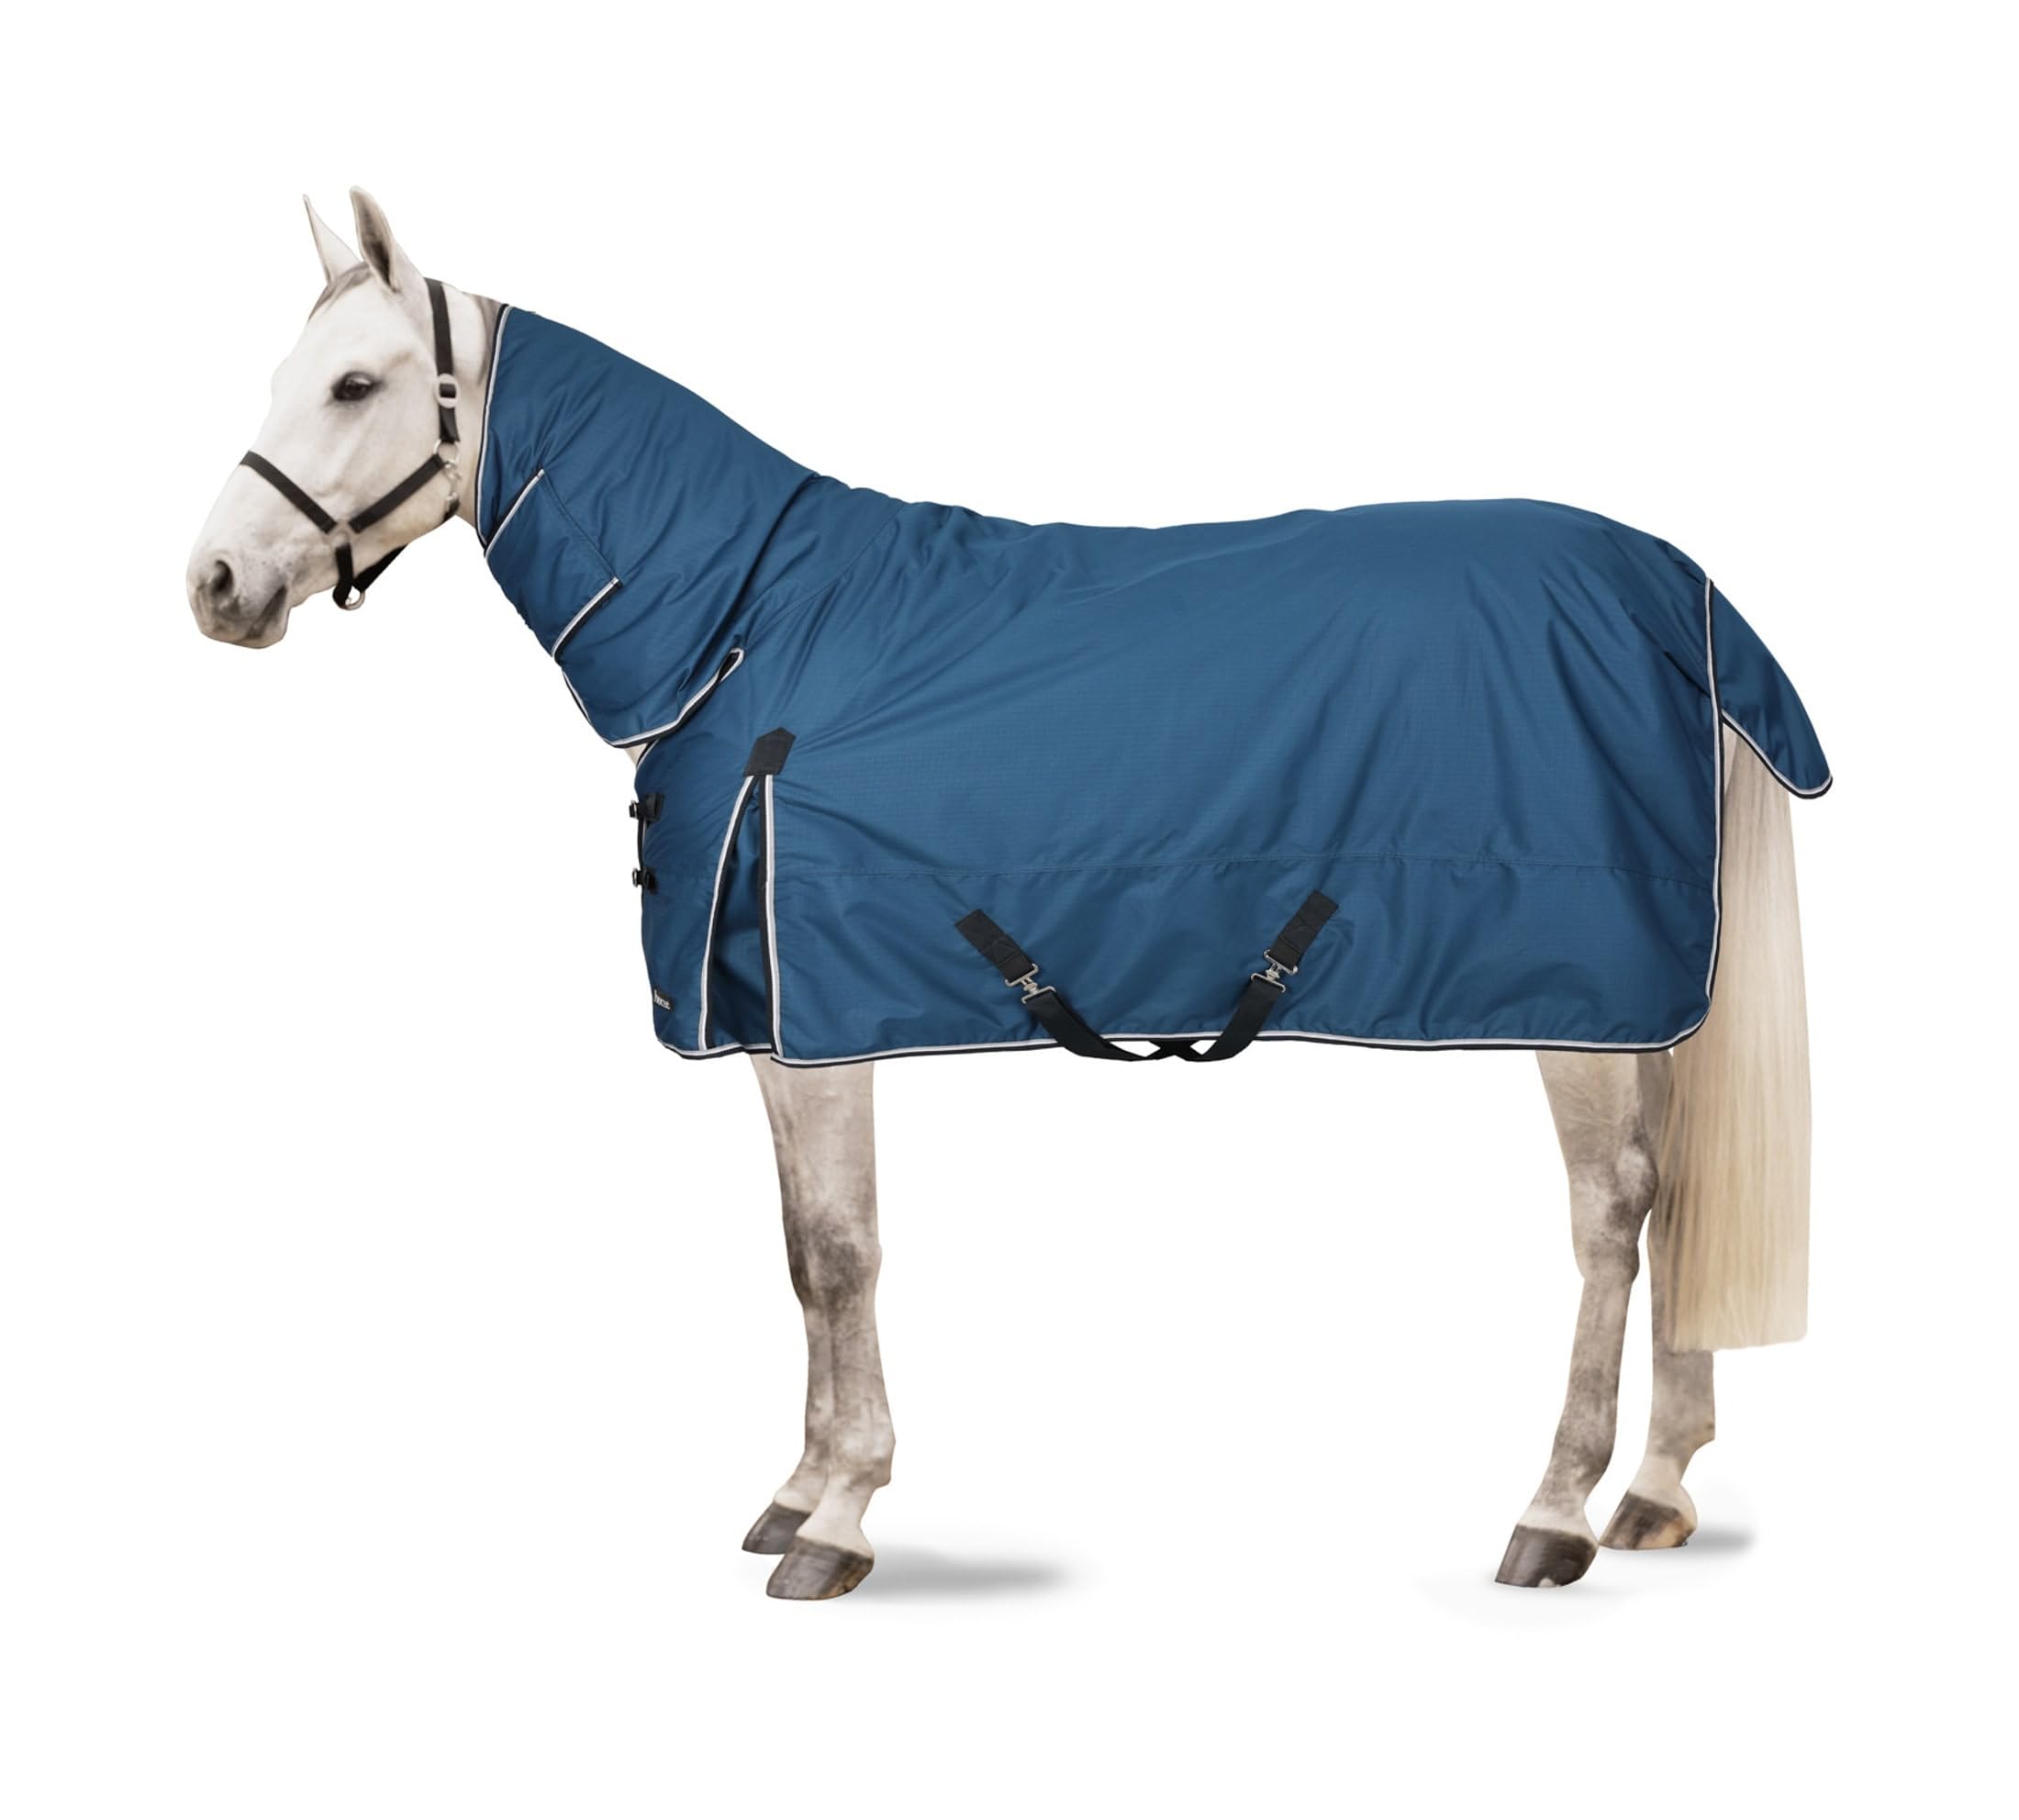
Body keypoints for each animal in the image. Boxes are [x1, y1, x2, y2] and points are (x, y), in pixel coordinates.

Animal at [186, 190, 1823, 1600]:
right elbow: (801, 1253)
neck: (747, 625)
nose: (214, 585)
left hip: (1579, 994)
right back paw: (1656, 1489)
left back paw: (1556, 1508)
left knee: (1612, 1213)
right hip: (1643, 1003)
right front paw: (797, 1488)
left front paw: (837, 1517)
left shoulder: (824, 1012)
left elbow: (844, 1248)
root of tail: (1675, 593)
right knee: (1675, 1200)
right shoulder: (770, 1015)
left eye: (354, 384)